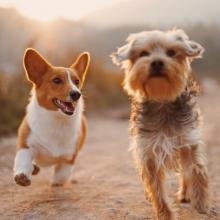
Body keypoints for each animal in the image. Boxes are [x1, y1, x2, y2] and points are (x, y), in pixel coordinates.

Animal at [13, 48, 89, 187]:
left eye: (77, 82)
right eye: (57, 80)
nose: (76, 94)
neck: (56, 120)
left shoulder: (69, 157)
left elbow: (61, 175)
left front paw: (55, 182)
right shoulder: (26, 144)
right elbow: (23, 160)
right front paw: (22, 176)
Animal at [111, 29, 210, 220]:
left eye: (171, 52)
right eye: (143, 54)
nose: (157, 62)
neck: (162, 100)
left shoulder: (188, 141)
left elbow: (196, 171)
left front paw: (201, 204)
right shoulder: (148, 151)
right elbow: (156, 188)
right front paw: (165, 214)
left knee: (185, 173)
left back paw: (186, 194)